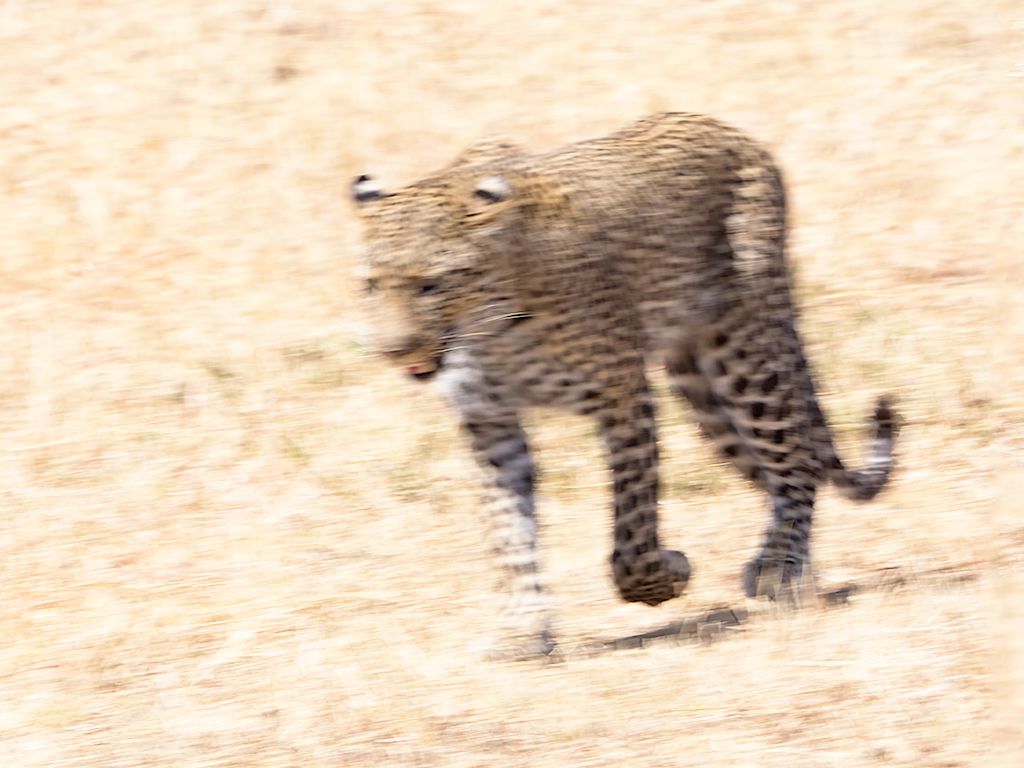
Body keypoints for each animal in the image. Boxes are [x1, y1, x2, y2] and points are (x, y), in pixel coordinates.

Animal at [351, 112, 897, 658]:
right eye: (371, 285)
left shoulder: (623, 398)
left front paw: (665, 575)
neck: (493, 330)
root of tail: (721, 127)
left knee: (796, 459)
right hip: (701, 388)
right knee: (783, 467)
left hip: (745, 355)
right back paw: (797, 572)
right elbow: (509, 532)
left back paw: (778, 568)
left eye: (432, 284)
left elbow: (632, 530)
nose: (394, 350)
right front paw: (523, 628)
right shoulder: (490, 423)